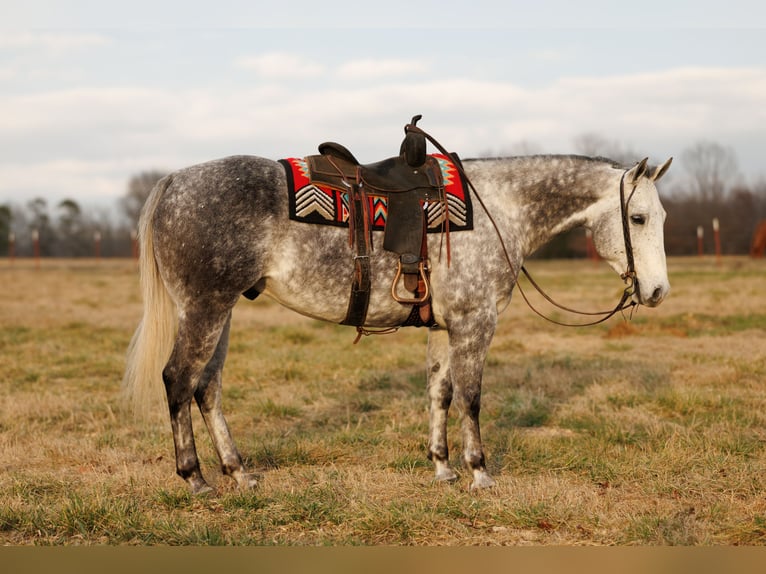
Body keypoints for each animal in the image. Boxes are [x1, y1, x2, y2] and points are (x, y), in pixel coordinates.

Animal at [123, 149, 673, 494]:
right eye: (639, 218)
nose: (658, 292)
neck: (498, 210)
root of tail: (175, 181)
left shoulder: (444, 328)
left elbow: (440, 394)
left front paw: (443, 468)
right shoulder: (475, 324)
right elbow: (471, 398)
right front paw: (479, 473)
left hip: (223, 311)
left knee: (207, 387)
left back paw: (239, 473)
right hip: (206, 308)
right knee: (178, 380)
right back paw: (195, 477)